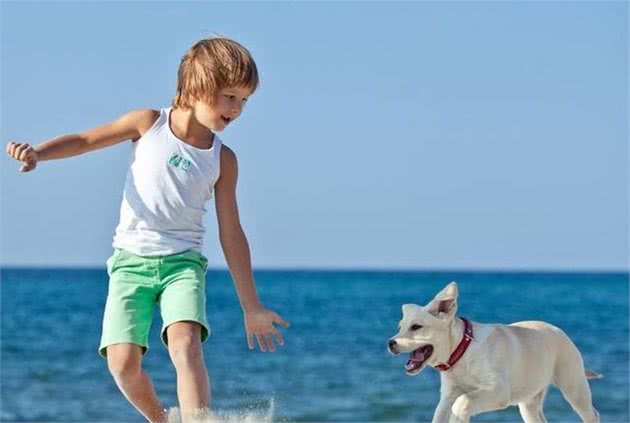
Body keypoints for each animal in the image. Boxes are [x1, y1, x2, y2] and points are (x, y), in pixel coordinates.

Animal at [390, 282, 604, 423]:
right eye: (400, 327)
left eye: (416, 327)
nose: (390, 343)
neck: (462, 351)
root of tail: (561, 331)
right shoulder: (447, 396)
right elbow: (443, 411)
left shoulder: (498, 390)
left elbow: (461, 402)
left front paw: (459, 417)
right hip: (529, 402)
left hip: (574, 387)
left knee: (592, 414)